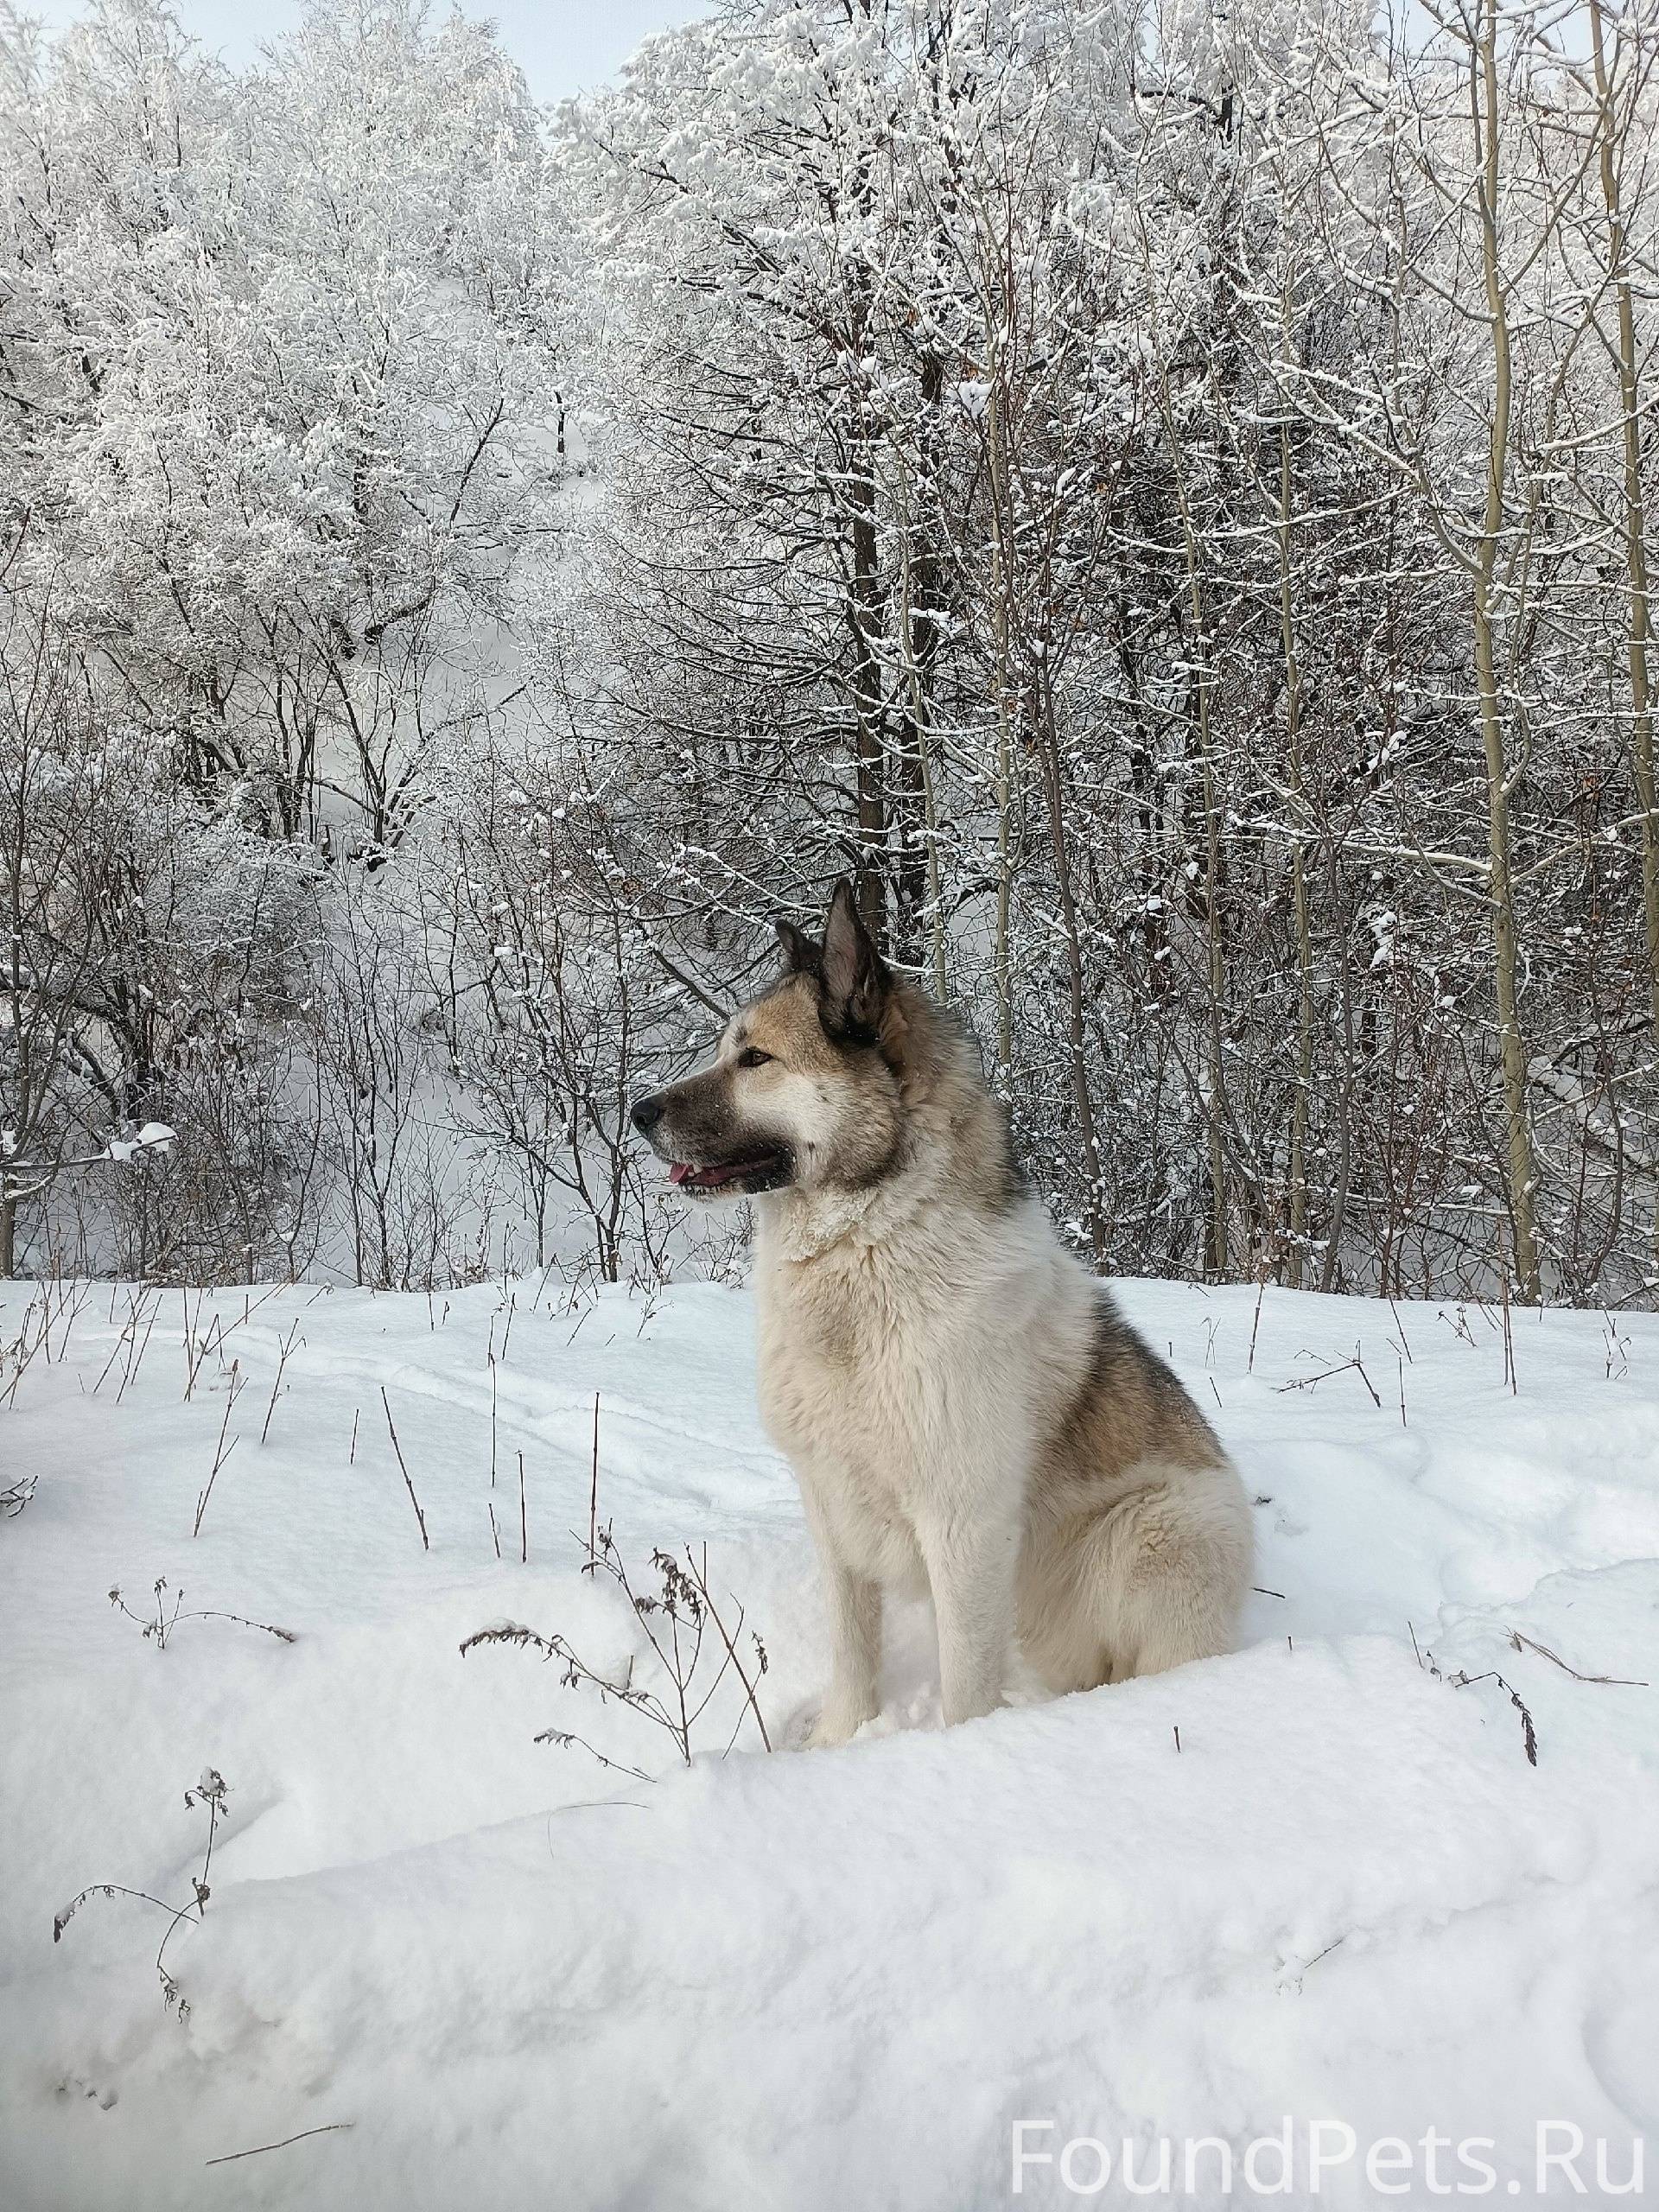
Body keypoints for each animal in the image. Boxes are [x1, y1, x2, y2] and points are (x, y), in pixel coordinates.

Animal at [631, 881, 1253, 1745]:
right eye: (729, 1050)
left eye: (755, 1059)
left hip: (1154, 1535)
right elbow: (852, 1654)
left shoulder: (963, 1526)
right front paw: (839, 1743)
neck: (865, 1250)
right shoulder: (832, 1507)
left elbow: (963, 1689)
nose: (635, 1112)